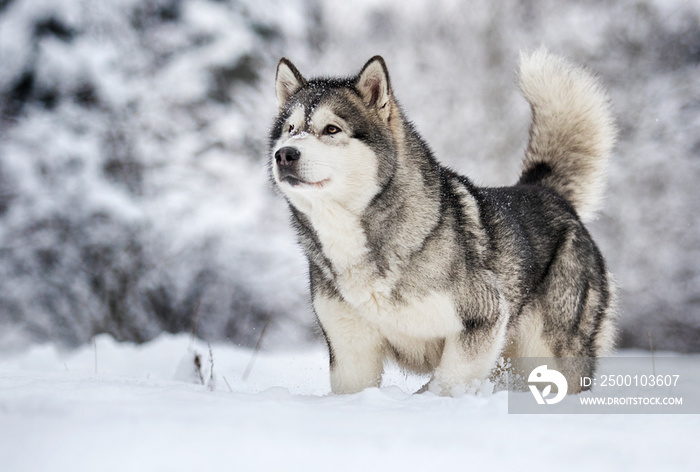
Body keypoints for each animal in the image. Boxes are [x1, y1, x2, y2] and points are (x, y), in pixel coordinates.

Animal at [268, 48, 616, 394]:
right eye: (290, 129)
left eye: (331, 129)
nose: (284, 154)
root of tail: (542, 189)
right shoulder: (353, 353)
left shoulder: (482, 318)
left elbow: (446, 384)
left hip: (547, 352)